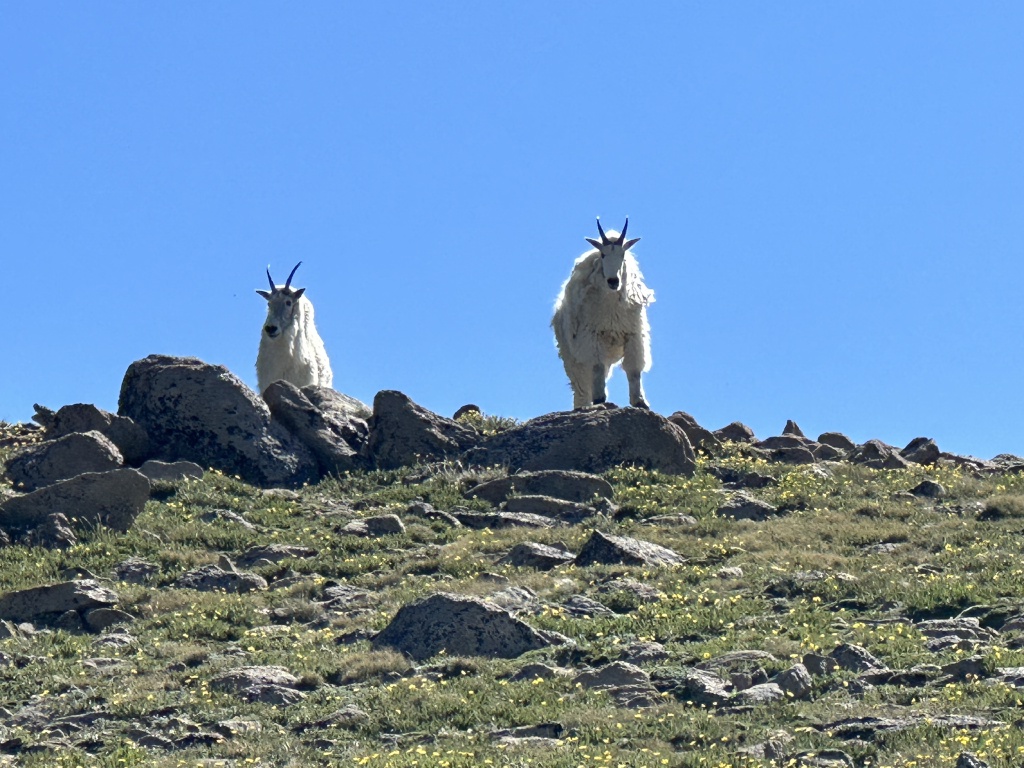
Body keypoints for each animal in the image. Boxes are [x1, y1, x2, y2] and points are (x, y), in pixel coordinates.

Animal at [552, 218, 654, 409]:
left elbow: (634, 370)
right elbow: (597, 367)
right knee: (581, 383)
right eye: (603, 255)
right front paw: (600, 399)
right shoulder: (593, 336)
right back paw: (584, 404)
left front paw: (640, 402)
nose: (613, 281)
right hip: (572, 356)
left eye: (622, 255)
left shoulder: (633, 334)